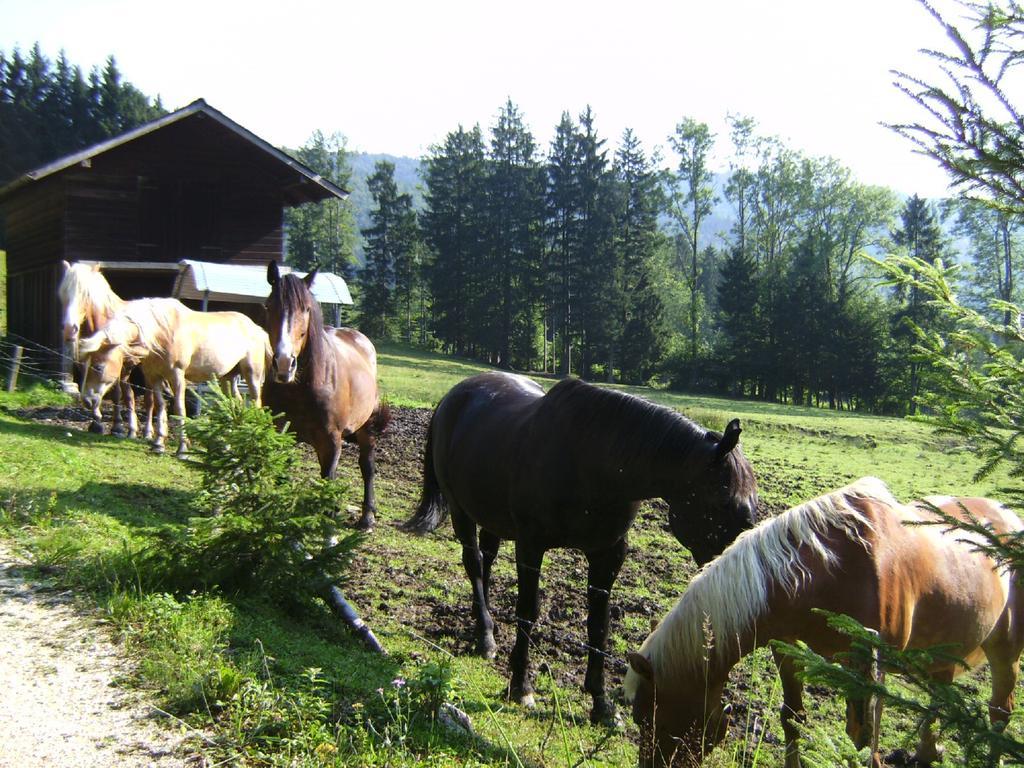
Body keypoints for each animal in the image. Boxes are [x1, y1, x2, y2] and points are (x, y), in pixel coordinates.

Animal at [58, 262, 143, 436]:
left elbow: (116, 393)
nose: (69, 330)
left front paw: (117, 426)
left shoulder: (114, 365)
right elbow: (90, 388)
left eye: (86, 295)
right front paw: (96, 423)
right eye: (63, 294)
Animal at [78, 299, 272, 456]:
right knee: (235, 404)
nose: (86, 400)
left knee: (256, 403)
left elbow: (179, 408)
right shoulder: (154, 377)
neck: (161, 332)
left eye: (98, 366)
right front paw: (158, 444)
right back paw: (228, 446)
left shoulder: (177, 376)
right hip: (228, 378)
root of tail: (258, 329)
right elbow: (160, 406)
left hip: (252, 375)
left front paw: (182, 449)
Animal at [262, 262, 389, 532]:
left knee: (367, 467)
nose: (284, 363)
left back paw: (367, 517)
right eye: (269, 306)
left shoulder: (331, 441)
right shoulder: (279, 431)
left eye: (306, 309)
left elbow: (328, 480)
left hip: (366, 429)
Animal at [403, 372, 757, 729]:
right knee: (474, 563)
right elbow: (528, 611)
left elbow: (598, 625)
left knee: (486, 562)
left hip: (491, 515)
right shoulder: (530, 545)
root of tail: (455, 395)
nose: (738, 570)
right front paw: (520, 687)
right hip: (460, 510)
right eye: (725, 503)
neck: (593, 464)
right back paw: (486, 637)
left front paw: (602, 705)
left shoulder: (608, 554)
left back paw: (483, 625)